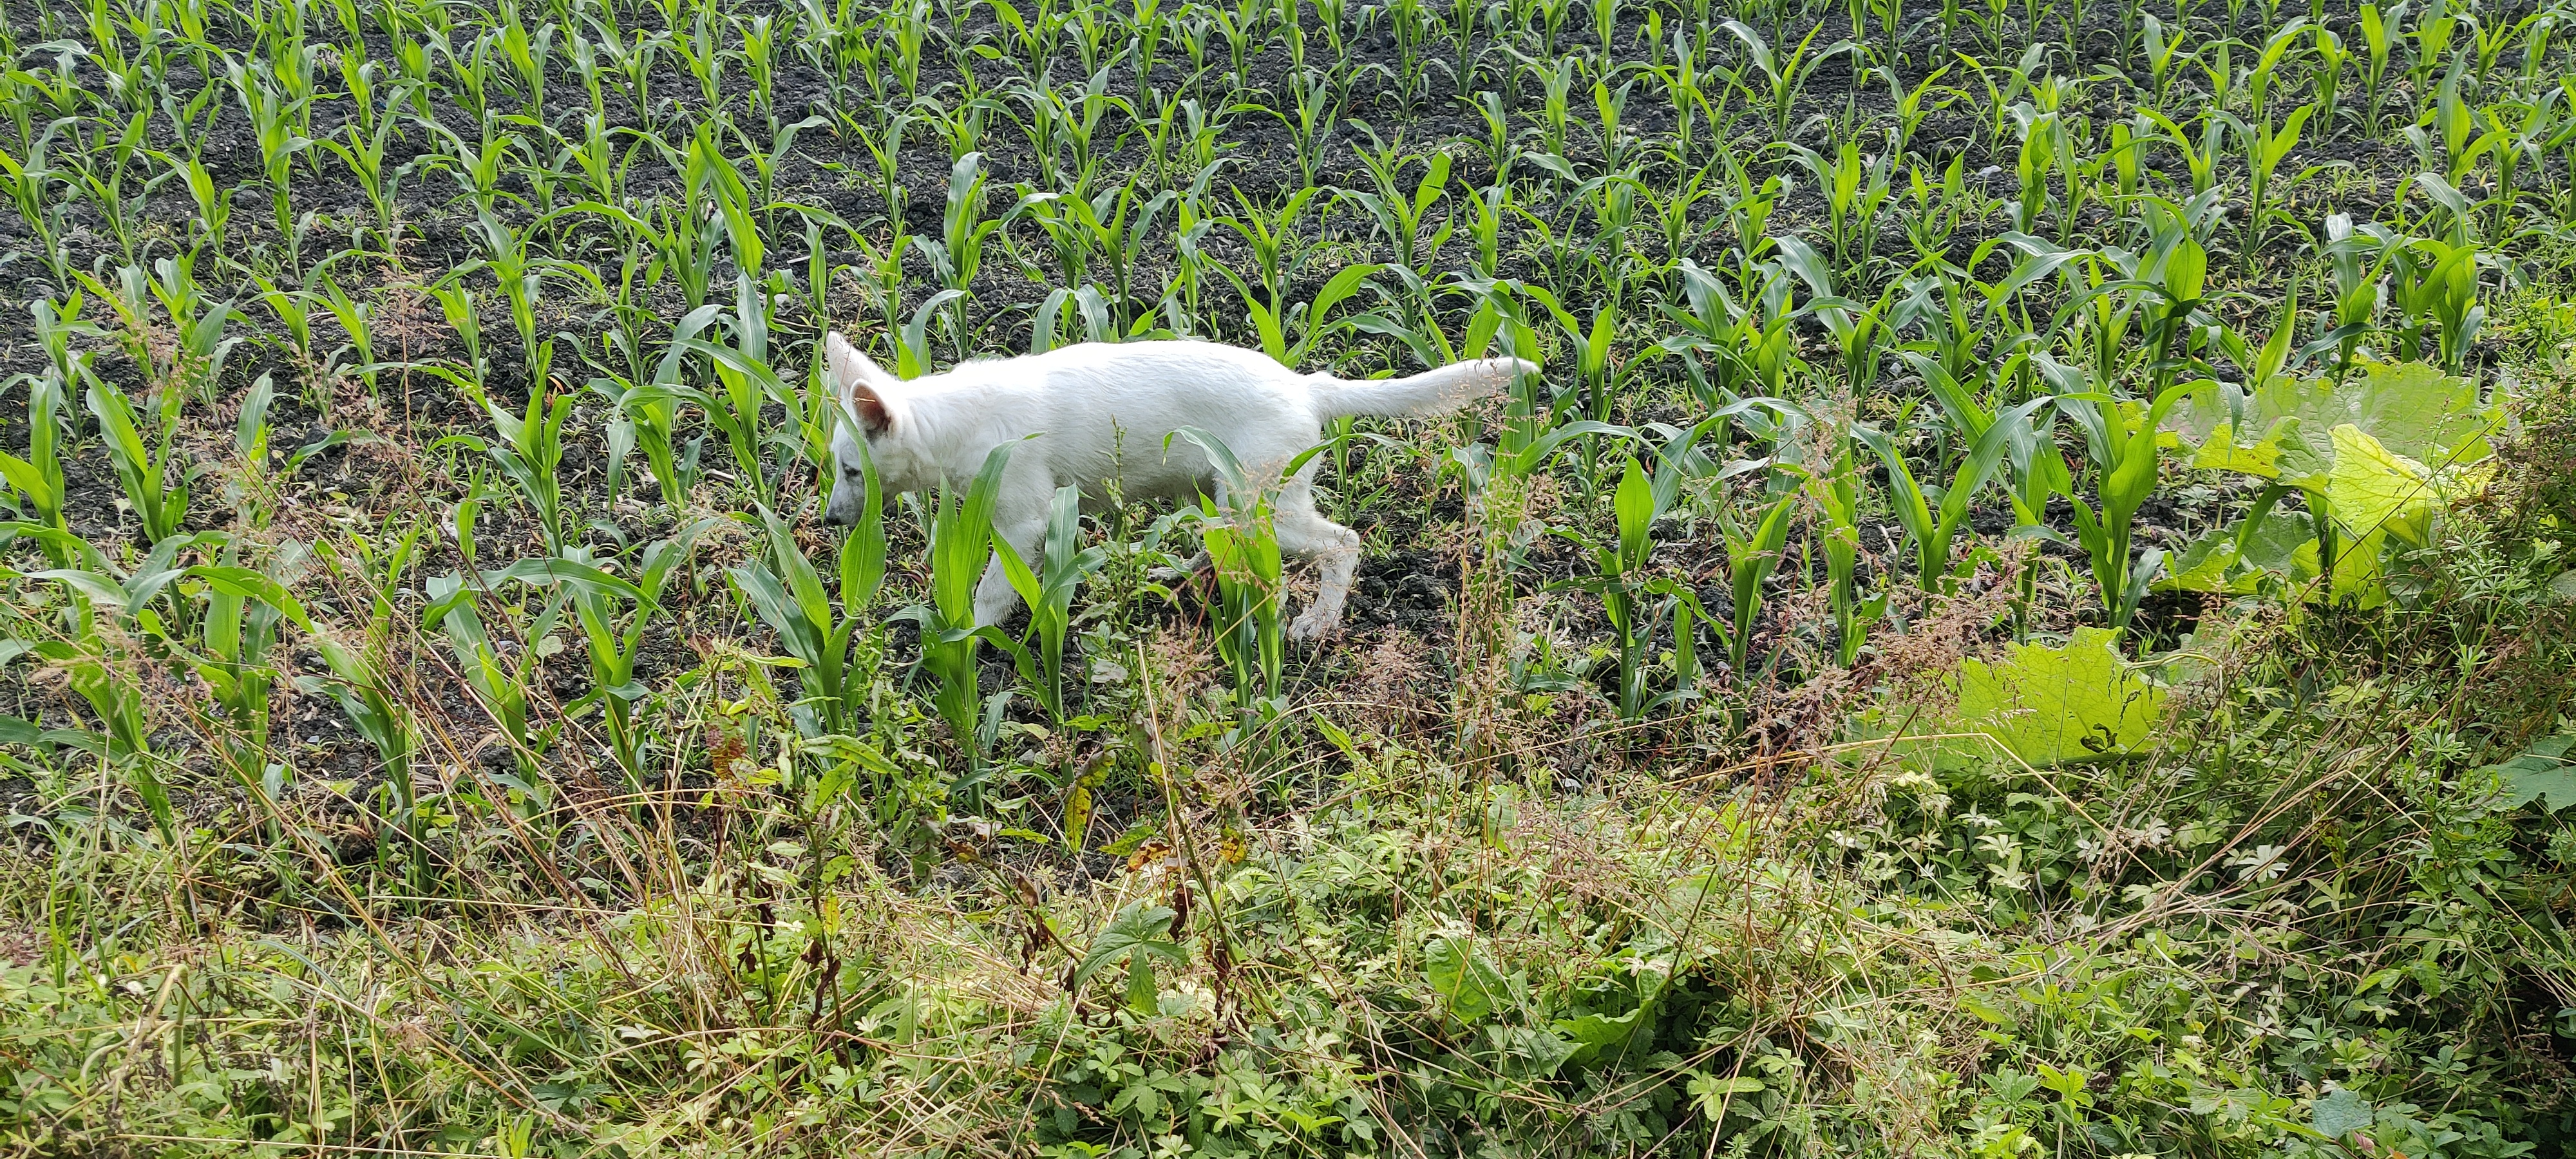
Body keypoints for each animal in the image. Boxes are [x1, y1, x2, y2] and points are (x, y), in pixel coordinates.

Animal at [817, 333, 1533, 641]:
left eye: (852, 472)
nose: (827, 522)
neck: (956, 420)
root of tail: (1308, 387)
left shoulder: (1025, 520)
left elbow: (994, 590)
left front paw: (959, 634)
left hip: (1262, 506)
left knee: (1344, 542)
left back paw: (1316, 621)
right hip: (1211, 489)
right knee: (1216, 545)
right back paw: (1174, 572)